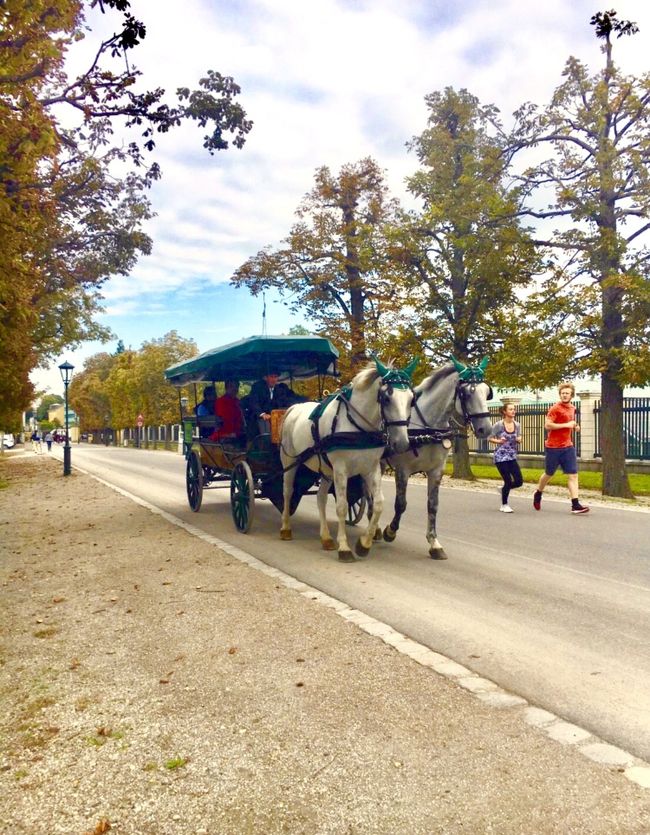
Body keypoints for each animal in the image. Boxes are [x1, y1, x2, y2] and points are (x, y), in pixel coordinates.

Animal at [280, 358, 416, 560]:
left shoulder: (371, 469)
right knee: (288, 492)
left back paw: (326, 538)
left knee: (321, 498)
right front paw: (344, 547)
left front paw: (364, 544)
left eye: (411, 400)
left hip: (326, 470)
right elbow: (342, 507)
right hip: (290, 463)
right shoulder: (341, 469)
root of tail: (294, 408)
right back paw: (286, 528)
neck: (358, 427)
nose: (401, 443)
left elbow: (378, 504)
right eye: (386, 398)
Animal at [380, 360, 492, 560]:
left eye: (487, 392)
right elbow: (400, 504)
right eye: (467, 393)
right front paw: (390, 531)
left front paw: (434, 543)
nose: (485, 429)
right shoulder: (402, 470)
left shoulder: (436, 471)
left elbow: (433, 506)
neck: (428, 429)